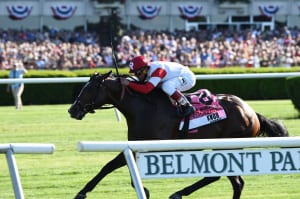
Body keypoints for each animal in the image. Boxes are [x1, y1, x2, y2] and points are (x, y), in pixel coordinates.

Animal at [68, 71, 288, 199]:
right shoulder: (136, 146)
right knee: (236, 182)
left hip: (227, 143)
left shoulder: (153, 147)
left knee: (221, 176)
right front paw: (82, 192)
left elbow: (118, 168)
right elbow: (110, 166)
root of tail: (252, 112)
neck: (144, 108)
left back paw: (178, 193)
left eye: (88, 89)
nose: (72, 110)